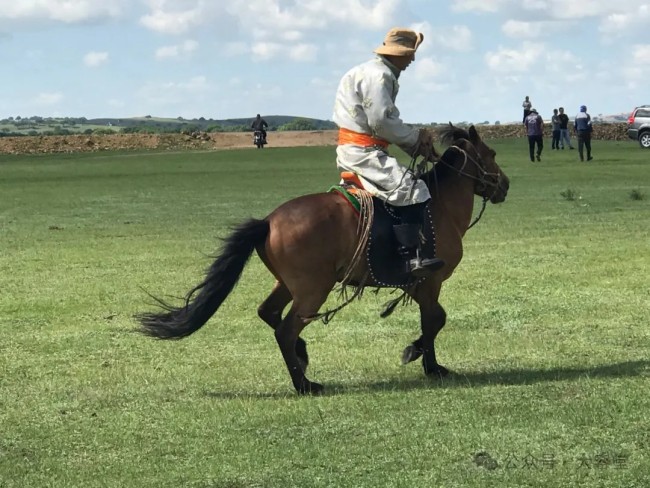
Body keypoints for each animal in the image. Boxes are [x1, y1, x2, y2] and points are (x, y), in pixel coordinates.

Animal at [137, 124, 508, 394]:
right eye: (491, 153)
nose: (504, 185)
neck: (439, 207)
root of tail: (268, 221)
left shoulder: (417, 286)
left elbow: (432, 320)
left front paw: (425, 359)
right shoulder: (429, 281)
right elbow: (434, 320)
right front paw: (424, 361)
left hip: (290, 285)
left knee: (269, 313)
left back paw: (302, 357)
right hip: (313, 289)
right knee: (285, 329)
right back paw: (304, 384)